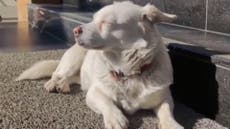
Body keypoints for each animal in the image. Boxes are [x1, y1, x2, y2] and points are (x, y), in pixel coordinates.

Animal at [16, 1, 183, 129]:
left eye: (106, 23)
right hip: (73, 60)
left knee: (72, 79)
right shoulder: (93, 92)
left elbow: (167, 110)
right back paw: (53, 84)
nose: (75, 30)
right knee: (57, 74)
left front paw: (172, 124)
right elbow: (106, 102)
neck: (126, 71)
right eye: (93, 19)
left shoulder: (165, 97)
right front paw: (115, 118)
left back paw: (63, 85)